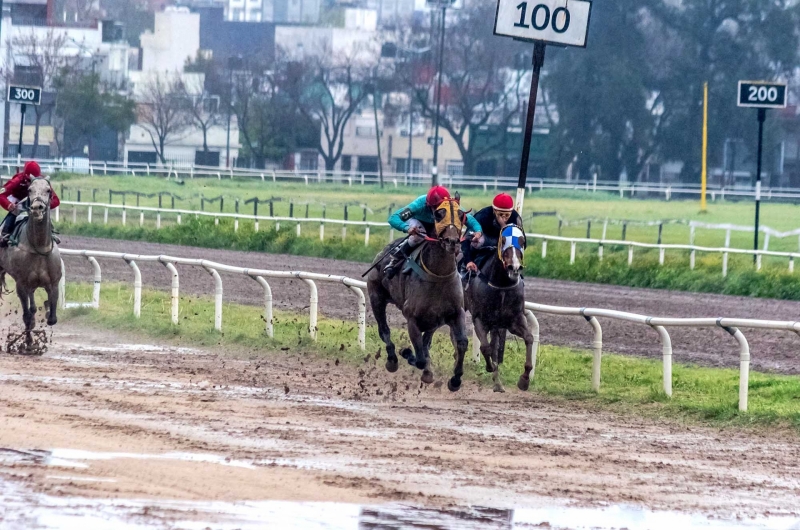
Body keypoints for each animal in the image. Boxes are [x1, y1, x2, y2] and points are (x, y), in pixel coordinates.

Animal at [0, 177, 61, 350]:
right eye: (29, 190)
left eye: (48, 190)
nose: (36, 208)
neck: (38, 247)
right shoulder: (21, 283)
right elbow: (27, 316)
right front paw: (28, 343)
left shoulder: (53, 283)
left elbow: (51, 317)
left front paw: (46, 308)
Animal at [368, 200, 472, 390]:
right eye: (439, 215)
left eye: (461, 215)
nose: (452, 242)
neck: (438, 276)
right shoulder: (412, 319)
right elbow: (420, 358)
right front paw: (406, 352)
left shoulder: (456, 313)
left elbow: (461, 343)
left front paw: (455, 379)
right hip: (376, 297)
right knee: (384, 330)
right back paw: (392, 360)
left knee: (426, 342)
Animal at [466, 224, 536, 392]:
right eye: (503, 240)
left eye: (522, 241)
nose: (514, 267)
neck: (501, 285)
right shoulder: (479, 319)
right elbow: (486, 347)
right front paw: (490, 368)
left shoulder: (513, 320)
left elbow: (529, 338)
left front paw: (524, 380)